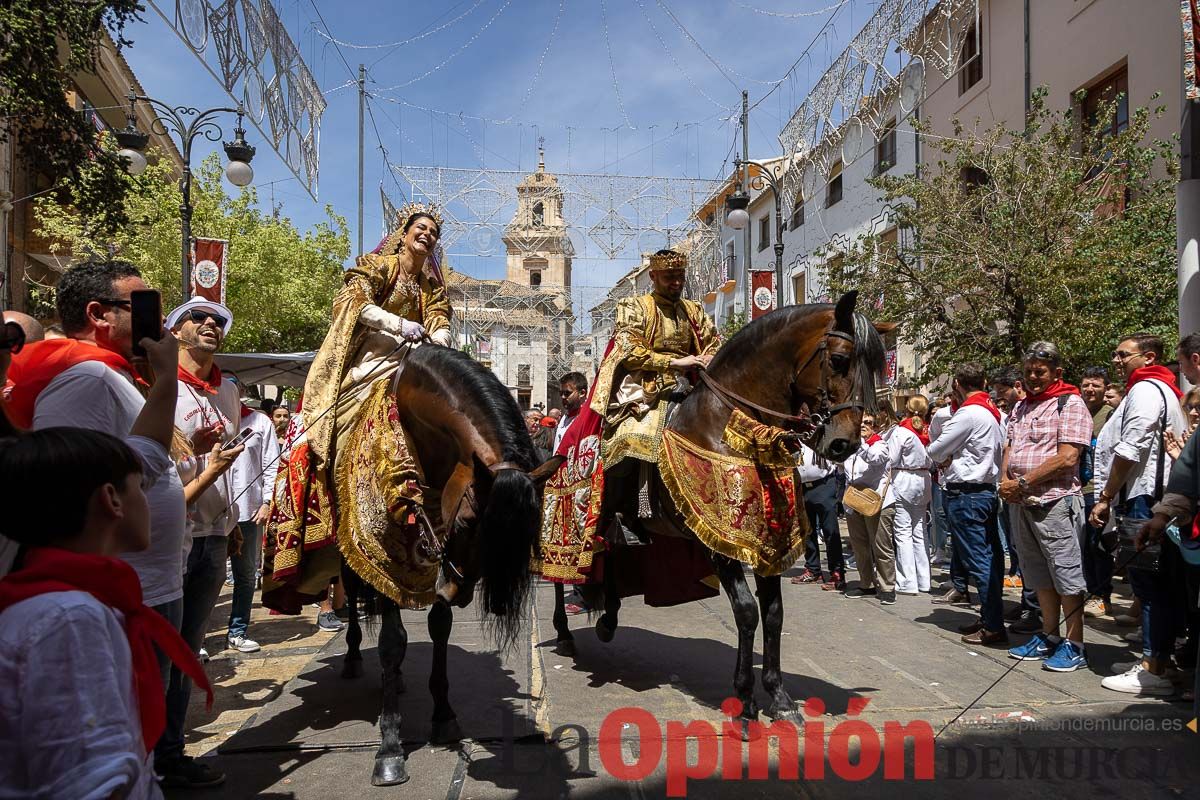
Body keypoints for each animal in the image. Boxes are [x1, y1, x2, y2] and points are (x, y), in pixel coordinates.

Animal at [338, 345, 561, 786]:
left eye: (527, 532)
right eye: (468, 521)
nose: (460, 592)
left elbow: (438, 625)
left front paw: (443, 715)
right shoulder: (386, 554)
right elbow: (391, 641)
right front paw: (390, 747)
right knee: (353, 594)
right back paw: (354, 655)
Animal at [549, 292, 883, 734]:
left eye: (874, 367)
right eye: (841, 360)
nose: (844, 444)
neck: (735, 430)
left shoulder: (766, 540)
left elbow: (773, 613)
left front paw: (779, 698)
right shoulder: (720, 544)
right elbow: (746, 612)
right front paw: (744, 703)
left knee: (613, 559)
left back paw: (608, 622)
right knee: (560, 571)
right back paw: (564, 631)